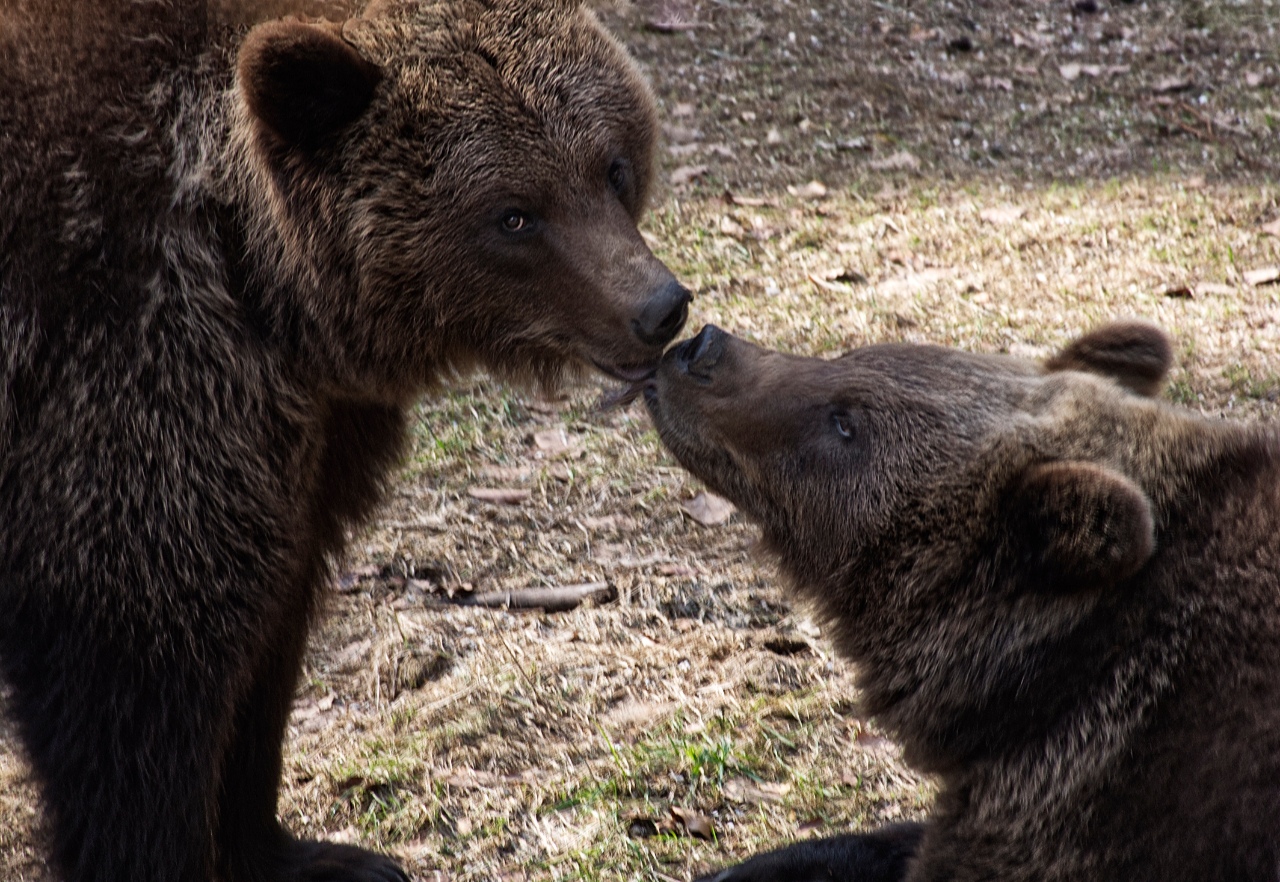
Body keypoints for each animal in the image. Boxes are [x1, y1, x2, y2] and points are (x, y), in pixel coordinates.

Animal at [0, 1, 691, 880]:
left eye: (611, 166)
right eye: (513, 213)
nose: (658, 306)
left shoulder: (303, 440)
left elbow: (271, 634)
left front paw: (295, 848)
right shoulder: (117, 385)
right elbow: (134, 692)